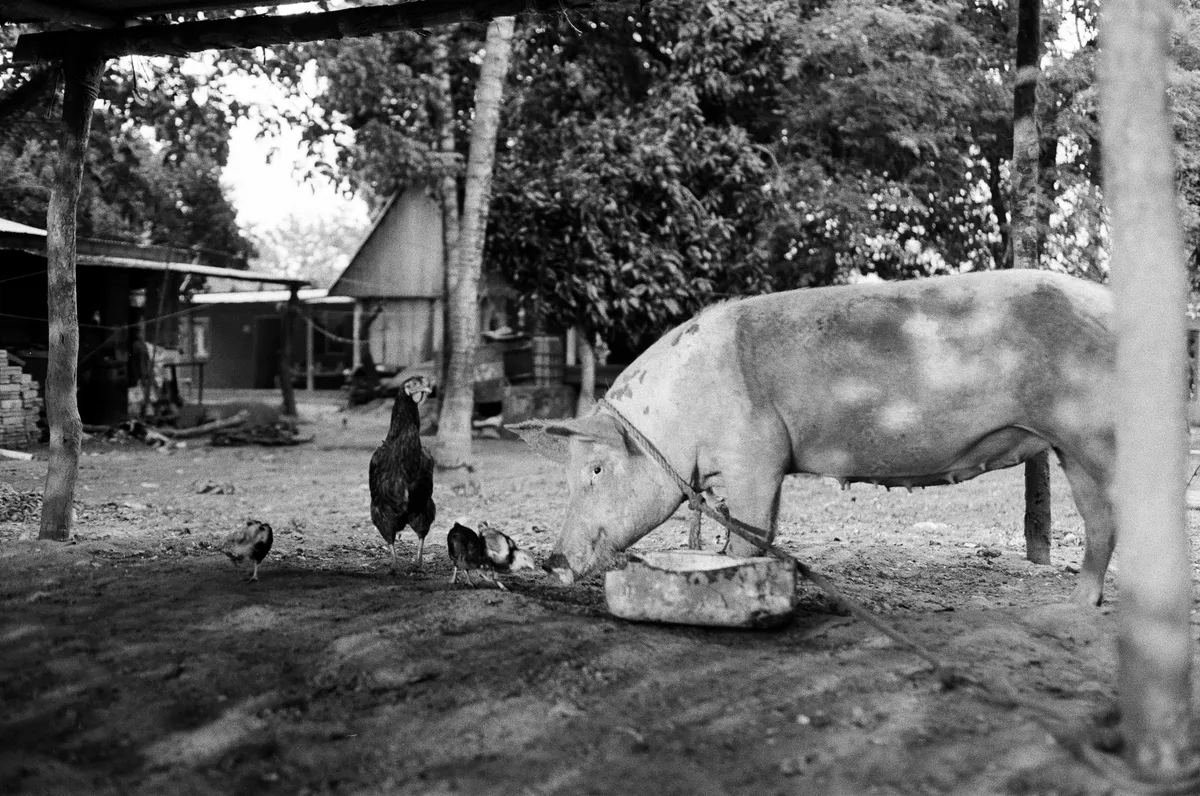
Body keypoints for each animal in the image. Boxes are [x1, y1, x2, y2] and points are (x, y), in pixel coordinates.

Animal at [519, 270, 1118, 607]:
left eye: (596, 470)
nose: (552, 562)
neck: (678, 414)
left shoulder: (754, 456)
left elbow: (746, 540)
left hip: (1093, 434)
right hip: (1071, 450)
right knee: (1102, 526)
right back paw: (1076, 606)